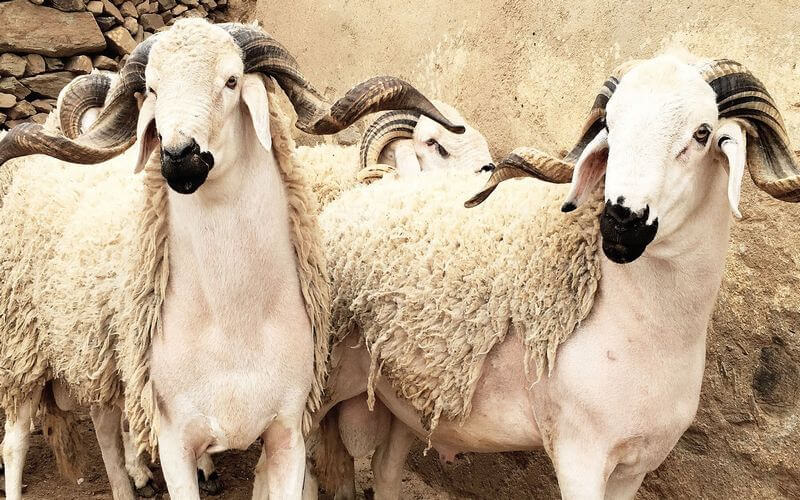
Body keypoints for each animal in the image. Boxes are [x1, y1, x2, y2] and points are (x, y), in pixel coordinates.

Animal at [0, 19, 464, 499]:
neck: (234, 323)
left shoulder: (288, 434)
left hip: (93, 348)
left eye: (231, 80)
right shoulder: (174, 440)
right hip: (23, 342)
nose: (178, 157)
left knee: (105, 418)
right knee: (21, 439)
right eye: (152, 88)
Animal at [310, 53, 800, 499]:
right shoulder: (580, 453)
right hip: (325, 377)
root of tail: (369, 187)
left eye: (702, 134)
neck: (647, 326)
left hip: (413, 395)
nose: (620, 219)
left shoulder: (635, 464)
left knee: (386, 471)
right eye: (611, 126)